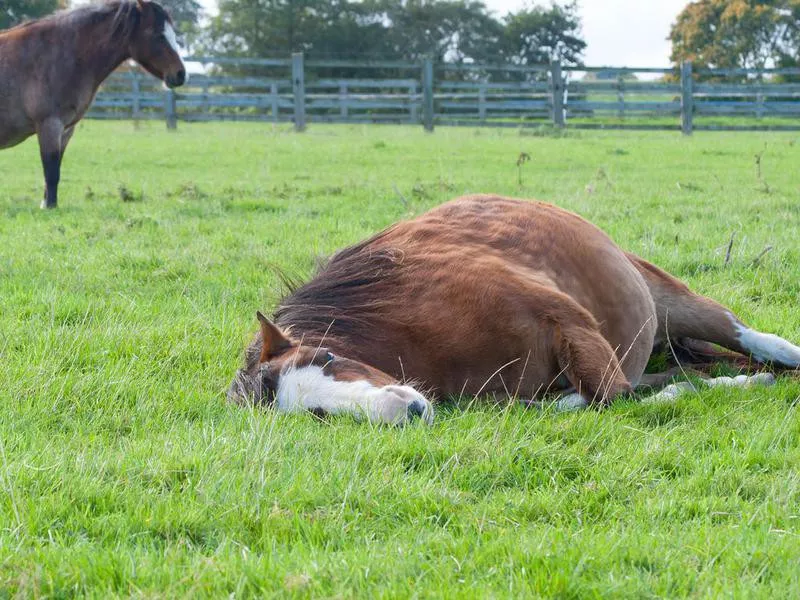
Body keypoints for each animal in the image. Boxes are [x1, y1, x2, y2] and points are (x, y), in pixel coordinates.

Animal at [0, 0, 186, 209]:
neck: (61, 55)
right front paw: (49, 207)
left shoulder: (65, 130)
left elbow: (55, 168)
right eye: (158, 35)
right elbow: (51, 169)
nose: (180, 74)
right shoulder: (49, 124)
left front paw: (47, 203)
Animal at [225, 195, 800, 424]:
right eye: (316, 414)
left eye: (325, 357)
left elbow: (616, 397)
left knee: (753, 340)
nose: (408, 410)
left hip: (671, 300)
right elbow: (597, 399)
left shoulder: (569, 323)